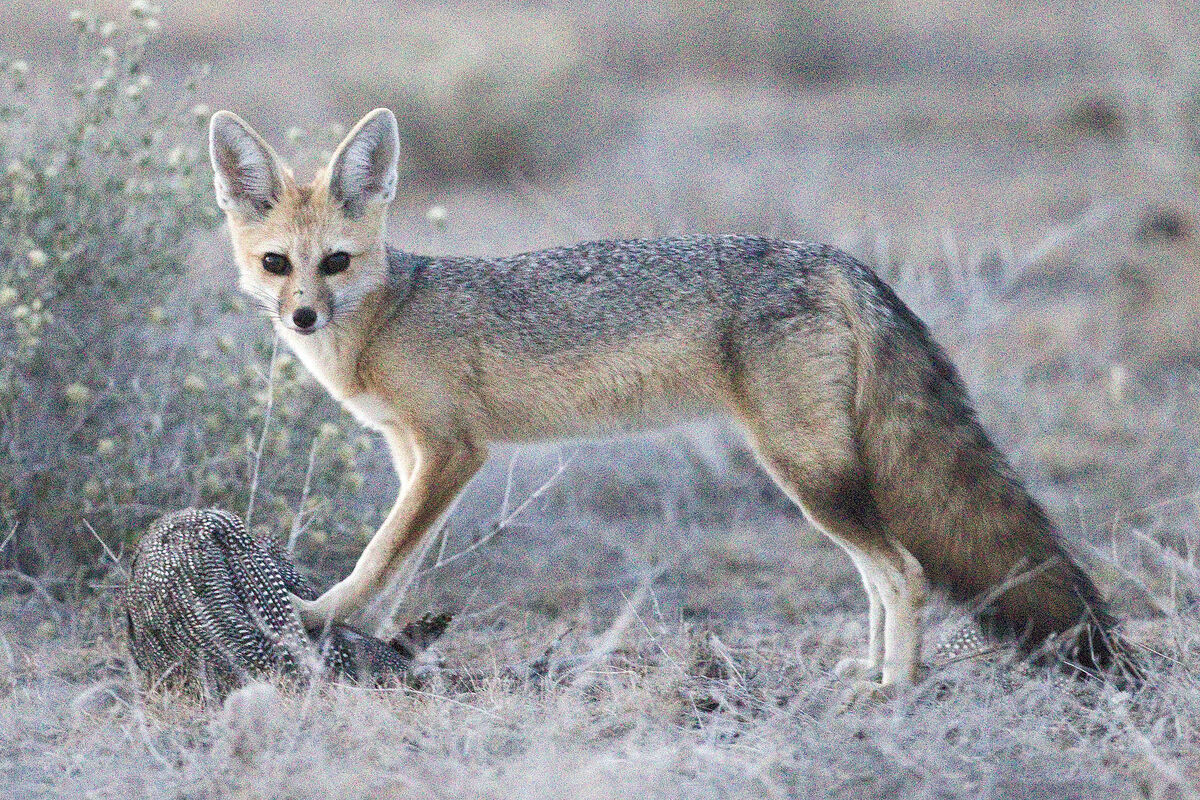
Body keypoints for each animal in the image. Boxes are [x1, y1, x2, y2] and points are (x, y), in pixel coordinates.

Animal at [208, 109, 1142, 690]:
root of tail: (838, 258)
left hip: (805, 474)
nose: (300, 316)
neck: (387, 315)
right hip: (823, 478)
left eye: (333, 262)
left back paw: (895, 690)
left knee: (904, 573)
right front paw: (376, 636)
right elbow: (402, 562)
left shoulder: (452, 453)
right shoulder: (415, 457)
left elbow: (377, 555)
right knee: (881, 576)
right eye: (276, 264)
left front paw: (321, 615)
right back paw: (875, 671)